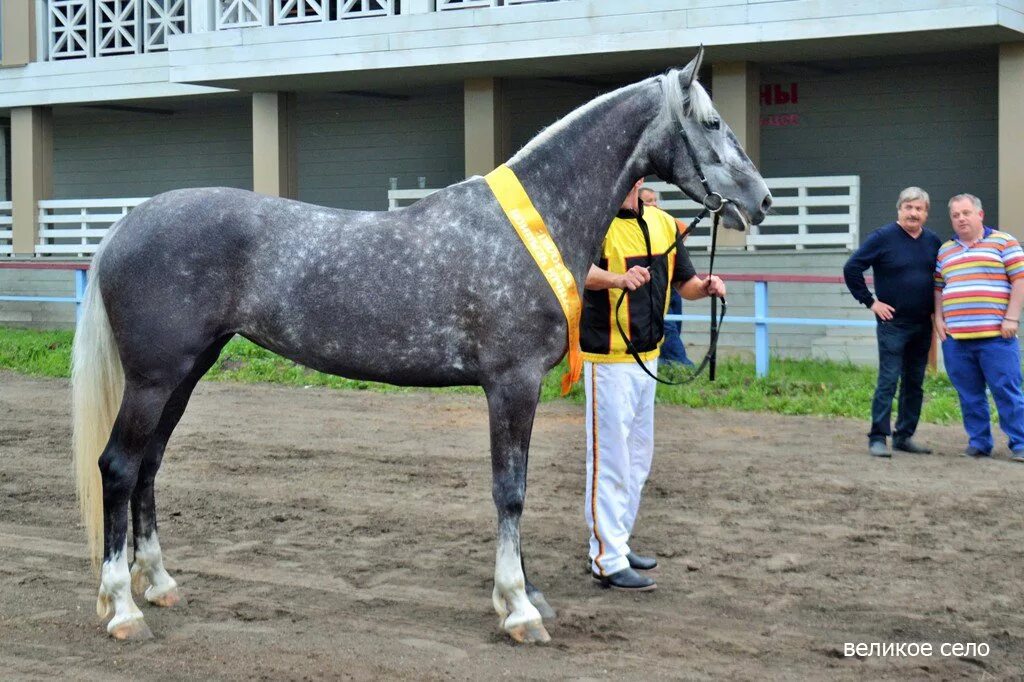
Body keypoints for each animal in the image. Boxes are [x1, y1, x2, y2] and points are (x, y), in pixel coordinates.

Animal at [72, 49, 770, 643]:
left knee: (149, 469)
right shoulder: (512, 384)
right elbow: (510, 490)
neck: (531, 224)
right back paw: (124, 609)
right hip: (154, 380)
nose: (760, 200)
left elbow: (515, 487)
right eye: (711, 121)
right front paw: (518, 609)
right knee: (119, 468)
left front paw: (527, 595)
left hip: (186, 373)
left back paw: (160, 584)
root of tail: (126, 225)